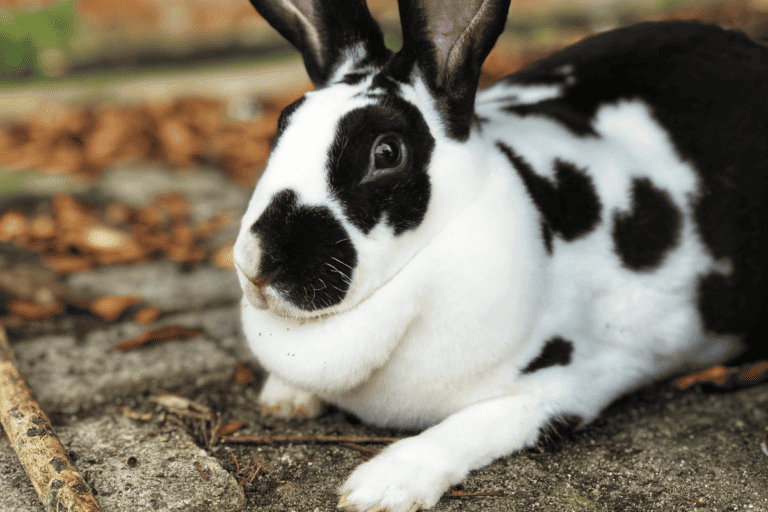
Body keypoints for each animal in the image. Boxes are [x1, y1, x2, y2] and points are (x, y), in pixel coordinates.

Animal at [233, 0, 768, 510]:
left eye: (387, 152)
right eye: (283, 123)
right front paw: (285, 396)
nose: (254, 262)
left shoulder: (565, 389)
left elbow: (467, 426)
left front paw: (383, 487)